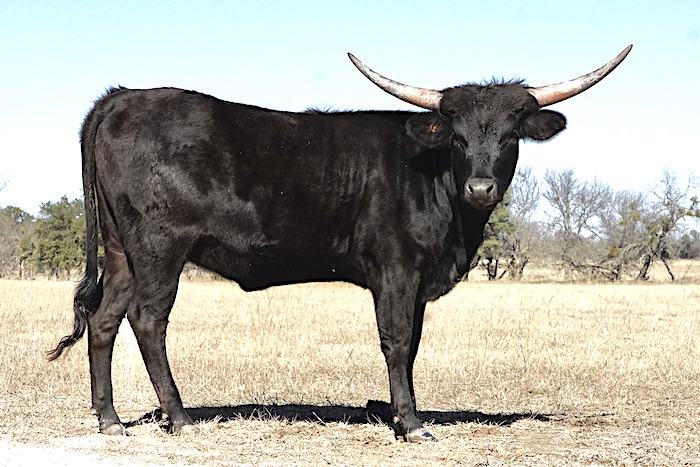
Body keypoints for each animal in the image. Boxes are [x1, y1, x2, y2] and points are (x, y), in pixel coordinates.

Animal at [47, 46, 628, 442]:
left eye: (510, 137)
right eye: (457, 137)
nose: (481, 187)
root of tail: (122, 97)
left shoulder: (417, 280)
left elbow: (414, 345)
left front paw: (403, 414)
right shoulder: (395, 270)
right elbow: (397, 342)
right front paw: (412, 424)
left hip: (122, 251)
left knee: (104, 319)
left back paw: (110, 420)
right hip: (160, 248)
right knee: (147, 320)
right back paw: (181, 418)